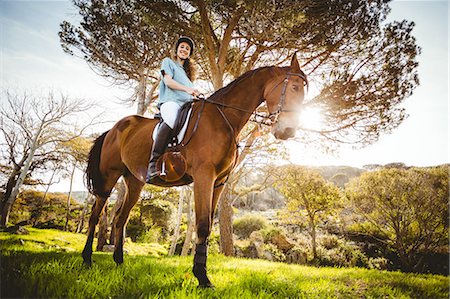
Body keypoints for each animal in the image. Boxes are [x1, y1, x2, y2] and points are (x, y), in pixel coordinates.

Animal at [81, 54, 306, 288]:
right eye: (295, 87)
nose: (288, 131)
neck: (222, 118)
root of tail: (114, 128)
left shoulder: (219, 182)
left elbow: (208, 225)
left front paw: (202, 275)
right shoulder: (203, 177)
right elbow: (203, 225)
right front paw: (202, 276)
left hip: (134, 181)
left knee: (120, 218)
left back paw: (119, 261)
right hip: (109, 178)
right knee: (95, 216)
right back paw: (87, 259)